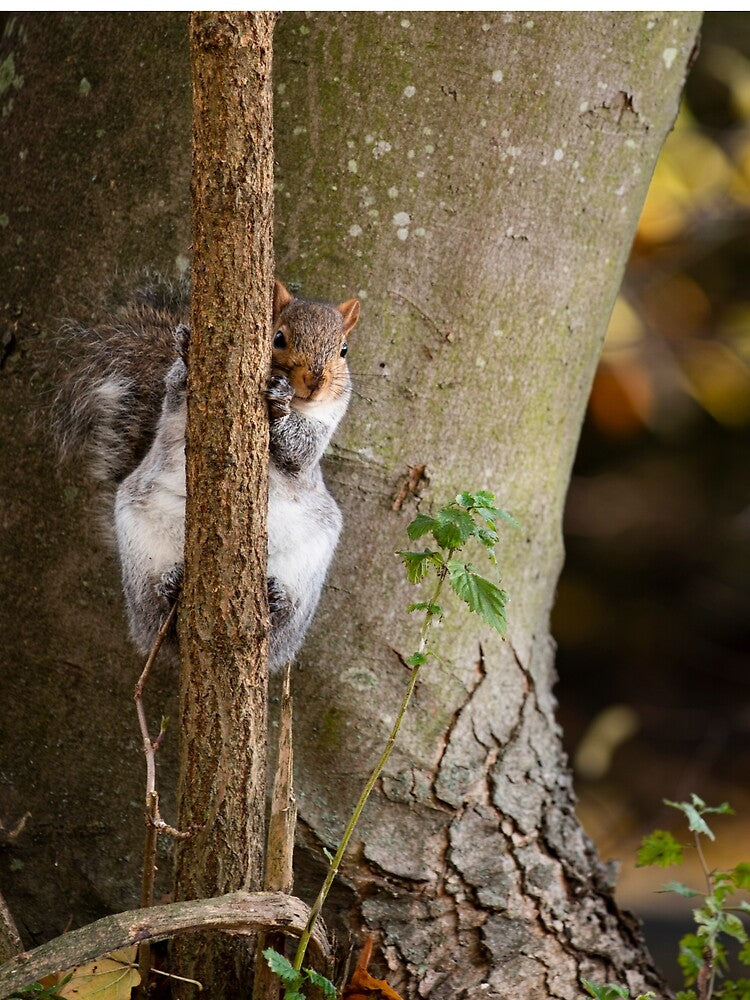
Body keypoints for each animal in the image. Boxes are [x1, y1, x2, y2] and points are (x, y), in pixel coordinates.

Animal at [52, 277, 360, 671]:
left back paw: (278, 602)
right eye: (278, 338)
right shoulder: (175, 403)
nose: (316, 380)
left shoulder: (317, 438)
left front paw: (279, 404)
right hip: (140, 550)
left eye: (344, 349)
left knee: (282, 630)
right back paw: (168, 591)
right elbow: (175, 389)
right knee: (152, 619)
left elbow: (298, 450)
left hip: (306, 567)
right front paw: (187, 353)